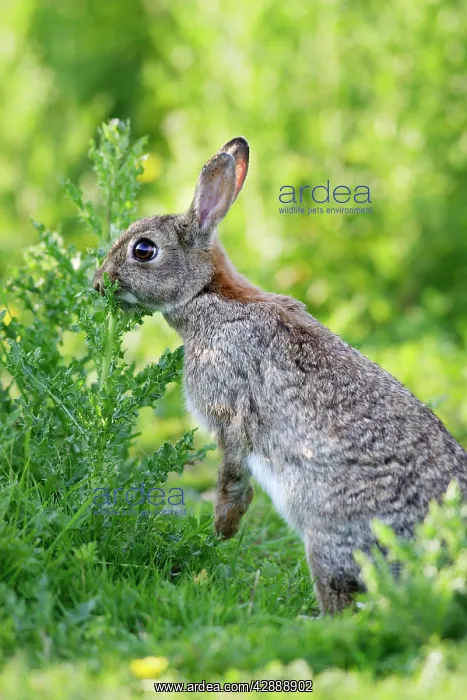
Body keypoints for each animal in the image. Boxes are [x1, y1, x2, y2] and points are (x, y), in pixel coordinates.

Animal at [93, 136, 467, 615]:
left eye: (144, 250)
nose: (98, 283)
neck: (208, 294)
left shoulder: (228, 411)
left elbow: (233, 479)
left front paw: (222, 529)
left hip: (329, 535)